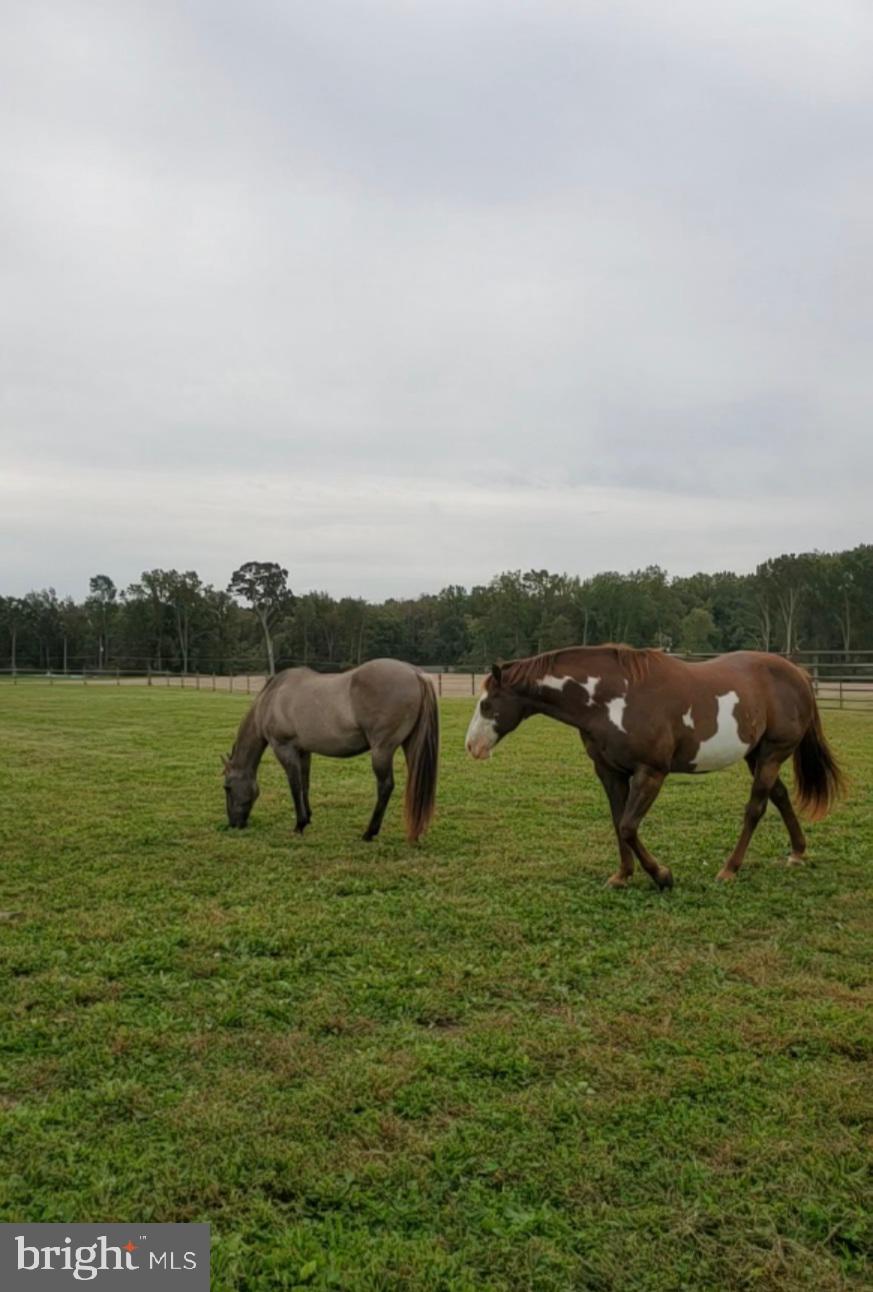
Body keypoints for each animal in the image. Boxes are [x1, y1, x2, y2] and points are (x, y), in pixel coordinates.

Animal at [222, 658, 439, 841]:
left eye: (227, 787)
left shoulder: (283, 748)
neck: (271, 698)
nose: (233, 824)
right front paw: (308, 818)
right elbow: (305, 784)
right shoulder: (303, 751)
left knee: (385, 786)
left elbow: (294, 786)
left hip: (382, 751)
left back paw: (369, 832)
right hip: (410, 746)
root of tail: (415, 673)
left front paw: (299, 825)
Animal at [465, 645, 843, 887]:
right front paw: (622, 876)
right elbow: (619, 824)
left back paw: (729, 870)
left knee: (756, 808)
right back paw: (797, 852)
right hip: (757, 755)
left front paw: (662, 876)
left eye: (486, 704)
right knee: (780, 796)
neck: (615, 698)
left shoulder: (651, 773)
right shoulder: (610, 773)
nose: (472, 746)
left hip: (773, 754)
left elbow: (629, 826)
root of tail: (798, 673)